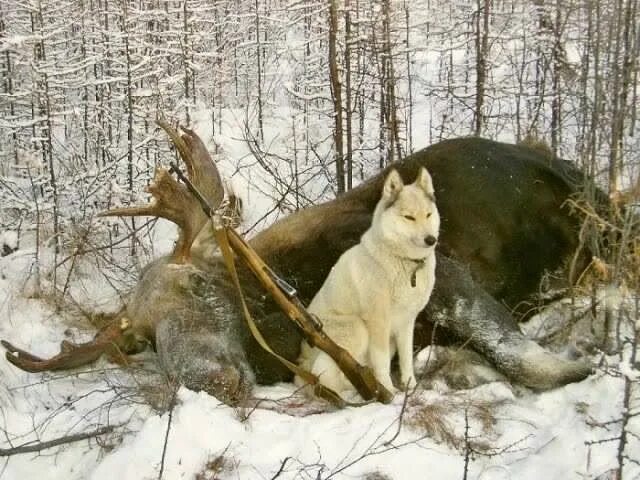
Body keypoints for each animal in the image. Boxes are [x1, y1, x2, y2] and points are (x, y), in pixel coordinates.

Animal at [296, 167, 440, 396]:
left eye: (428, 215)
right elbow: (382, 363)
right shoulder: (378, 321)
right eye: (409, 217)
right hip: (357, 328)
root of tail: (302, 359)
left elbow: (406, 359)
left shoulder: (407, 322)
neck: (405, 262)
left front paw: (410, 386)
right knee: (324, 372)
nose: (430, 240)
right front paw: (388, 391)